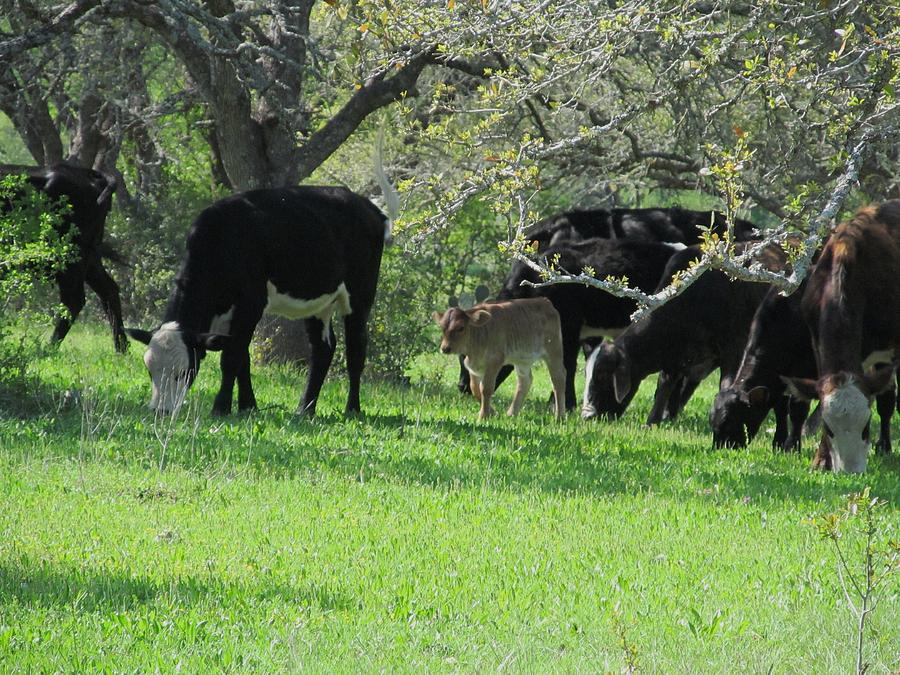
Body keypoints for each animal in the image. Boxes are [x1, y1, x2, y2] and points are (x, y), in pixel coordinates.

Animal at [0, 162, 126, 354]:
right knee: (108, 290)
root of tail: (90, 175)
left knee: (74, 300)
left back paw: (48, 348)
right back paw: (122, 348)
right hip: (89, 259)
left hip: (71, 260)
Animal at [127, 186, 390, 418]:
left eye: (183, 372)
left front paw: (221, 408)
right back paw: (305, 409)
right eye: (150, 371)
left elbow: (231, 358)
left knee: (356, 351)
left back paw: (352, 408)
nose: (160, 410)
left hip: (360, 296)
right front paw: (247, 406)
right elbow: (242, 358)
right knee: (322, 349)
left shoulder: (250, 304)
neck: (222, 239)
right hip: (318, 303)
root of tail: (365, 205)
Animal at [432, 298, 568, 420]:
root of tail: (545, 302)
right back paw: (511, 413)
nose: (445, 348)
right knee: (525, 381)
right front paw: (493, 412)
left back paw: (559, 417)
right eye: (442, 328)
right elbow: (475, 388)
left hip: (553, 350)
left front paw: (484, 415)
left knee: (558, 378)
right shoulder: (473, 366)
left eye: (460, 327)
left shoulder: (495, 360)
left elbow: (486, 388)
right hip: (522, 359)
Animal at [576, 244, 788, 422]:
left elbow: (725, 384)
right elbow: (665, 385)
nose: (587, 415)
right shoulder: (675, 356)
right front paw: (653, 421)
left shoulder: (733, 351)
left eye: (603, 375)